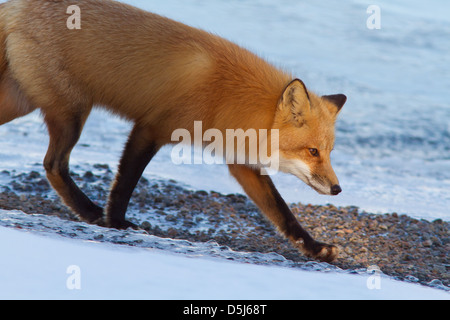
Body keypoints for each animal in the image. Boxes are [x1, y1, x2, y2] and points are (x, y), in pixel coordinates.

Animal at [0, 0, 344, 262]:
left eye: (329, 153)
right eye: (312, 151)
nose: (338, 189)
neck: (227, 95)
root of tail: (20, 6)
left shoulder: (241, 163)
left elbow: (282, 212)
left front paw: (315, 248)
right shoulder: (151, 128)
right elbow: (124, 185)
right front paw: (117, 222)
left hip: (21, 104)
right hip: (71, 115)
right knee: (53, 165)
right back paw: (89, 210)